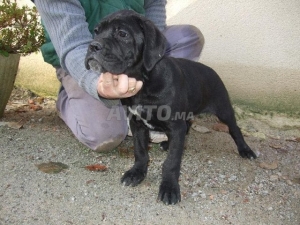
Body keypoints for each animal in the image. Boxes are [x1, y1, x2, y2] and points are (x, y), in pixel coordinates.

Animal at [85, 10, 256, 204]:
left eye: (122, 34)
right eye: (96, 31)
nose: (93, 46)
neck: (145, 81)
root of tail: (212, 71)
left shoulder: (174, 125)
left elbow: (172, 162)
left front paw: (169, 187)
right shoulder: (137, 125)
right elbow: (140, 151)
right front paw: (137, 173)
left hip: (223, 109)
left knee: (234, 129)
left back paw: (245, 150)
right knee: (187, 127)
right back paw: (167, 143)